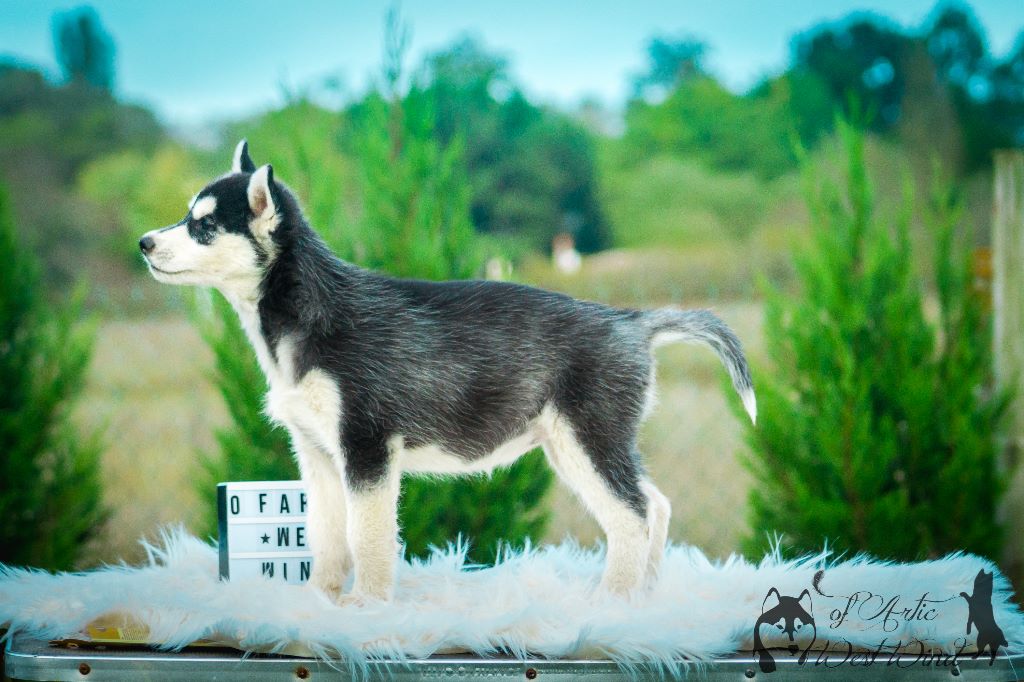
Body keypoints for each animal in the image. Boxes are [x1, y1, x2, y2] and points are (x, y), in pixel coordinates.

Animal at [139, 140, 756, 604]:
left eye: (204, 227)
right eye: (185, 218)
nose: (143, 242)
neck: (306, 313)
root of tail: (632, 319)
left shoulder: (367, 447)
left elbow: (366, 535)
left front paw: (367, 606)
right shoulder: (316, 453)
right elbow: (327, 535)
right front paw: (321, 600)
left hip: (587, 440)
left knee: (631, 517)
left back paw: (611, 603)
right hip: (582, 445)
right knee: (655, 504)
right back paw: (644, 597)